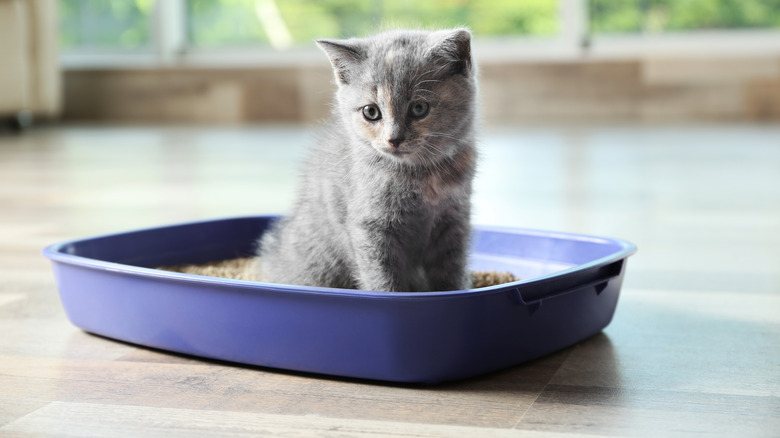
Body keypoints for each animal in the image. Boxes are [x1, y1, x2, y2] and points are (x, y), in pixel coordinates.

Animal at [258, 29, 476, 292]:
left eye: (419, 108)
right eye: (371, 112)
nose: (394, 139)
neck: (419, 176)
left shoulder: (454, 221)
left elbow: (452, 271)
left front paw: (457, 291)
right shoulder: (370, 227)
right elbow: (382, 276)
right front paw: (391, 295)